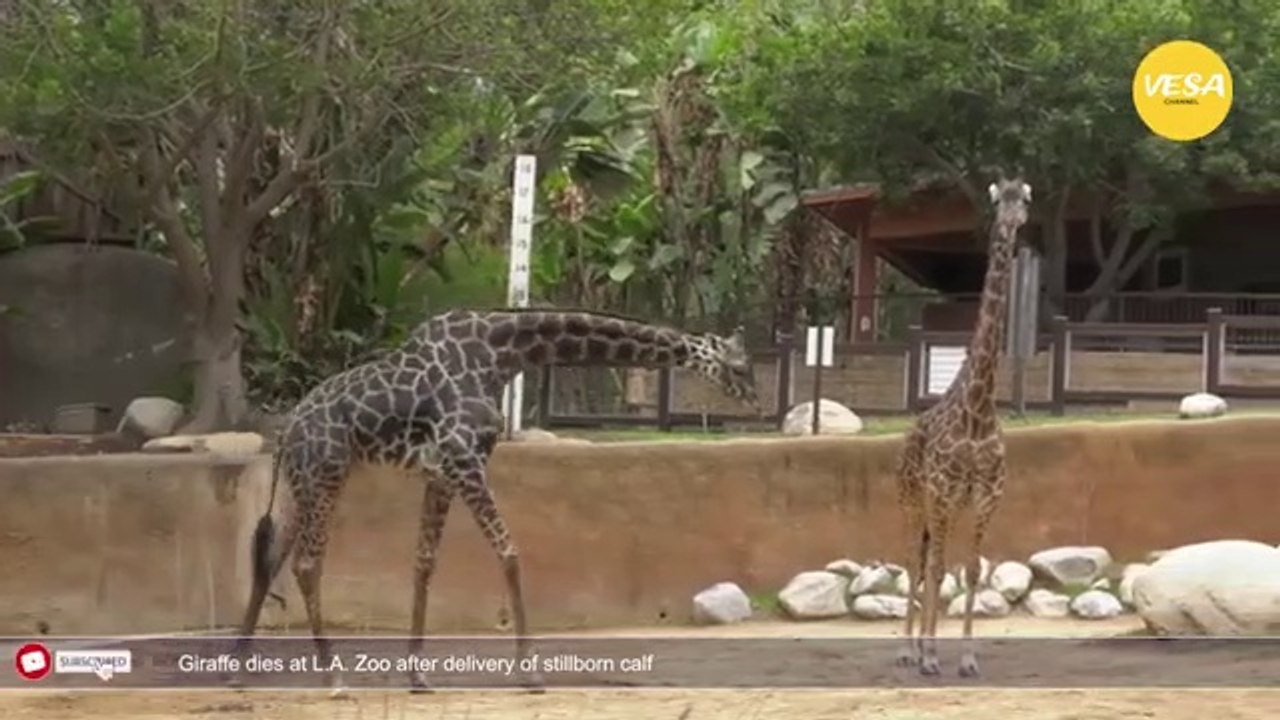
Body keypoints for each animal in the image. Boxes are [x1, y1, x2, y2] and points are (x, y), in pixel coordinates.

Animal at [232, 308, 761, 694]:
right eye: (739, 366)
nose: (755, 402)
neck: (501, 355)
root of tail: (289, 430)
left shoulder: (442, 473)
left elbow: (424, 563)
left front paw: (417, 675)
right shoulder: (466, 461)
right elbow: (508, 551)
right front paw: (530, 672)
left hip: (305, 482)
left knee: (271, 557)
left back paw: (239, 669)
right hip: (326, 475)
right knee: (305, 564)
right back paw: (334, 676)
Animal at [892, 177, 1032, 678]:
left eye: (1024, 199)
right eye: (999, 200)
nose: (1010, 224)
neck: (977, 409)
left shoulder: (987, 495)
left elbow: (970, 569)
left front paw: (968, 658)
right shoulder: (945, 491)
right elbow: (936, 569)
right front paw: (931, 655)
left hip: (940, 505)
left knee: (931, 559)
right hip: (914, 499)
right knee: (915, 560)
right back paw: (909, 650)